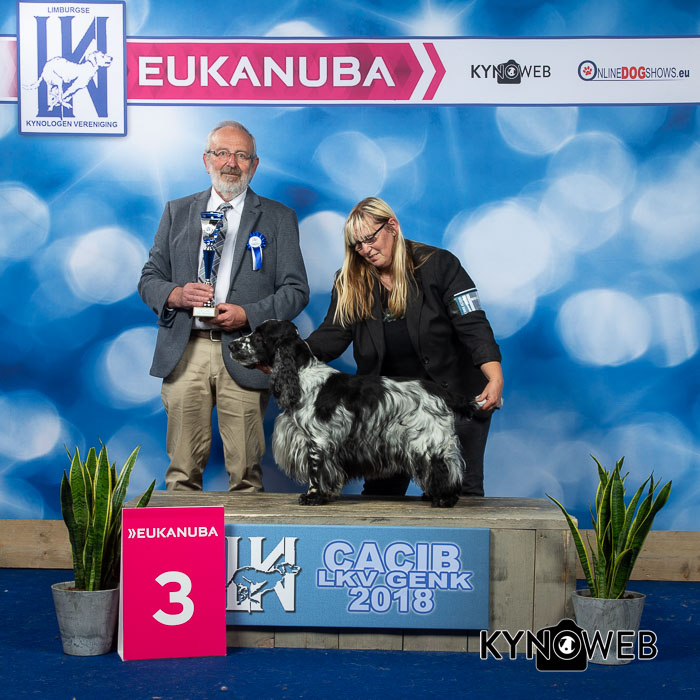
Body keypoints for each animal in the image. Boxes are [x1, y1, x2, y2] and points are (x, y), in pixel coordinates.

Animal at [229, 319, 483, 508]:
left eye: (258, 336)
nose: (231, 345)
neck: (302, 375)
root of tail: (440, 391)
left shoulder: (317, 441)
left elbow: (315, 471)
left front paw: (312, 496)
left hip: (429, 439)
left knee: (445, 467)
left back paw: (444, 499)